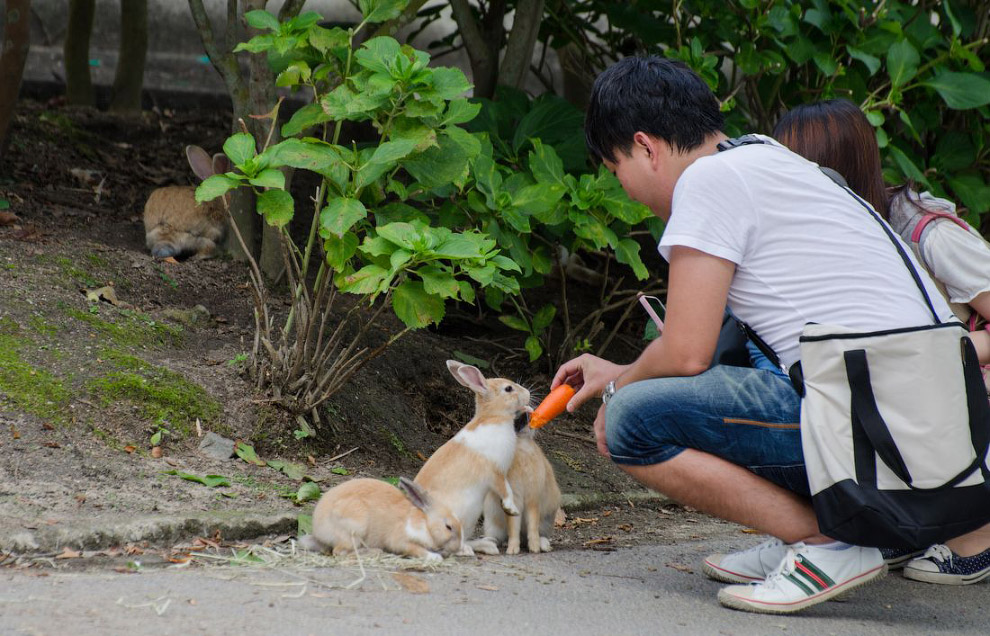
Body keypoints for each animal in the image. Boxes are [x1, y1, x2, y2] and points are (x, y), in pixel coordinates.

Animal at [298, 476, 464, 560]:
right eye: (448, 527)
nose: (456, 548)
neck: (425, 523)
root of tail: (318, 530)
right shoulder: (400, 540)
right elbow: (415, 549)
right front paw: (434, 557)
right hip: (354, 531)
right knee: (340, 552)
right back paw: (375, 551)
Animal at [412, 362, 536, 556]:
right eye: (508, 388)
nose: (528, 394)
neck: (494, 419)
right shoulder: (495, 472)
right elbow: (506, 490)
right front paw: (512, 509)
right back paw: (468, 551)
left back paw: (487, 545)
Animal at [484, 424, 560, 556]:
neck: (521, 447)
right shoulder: (515, 499)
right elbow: (513, 526)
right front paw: (512, 550)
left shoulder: (533, 499)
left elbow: (533, 524)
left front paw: (534, 548)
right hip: (492, 520)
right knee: (497, 537)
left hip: (547, 519)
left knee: (542, 535)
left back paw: (544, 546)